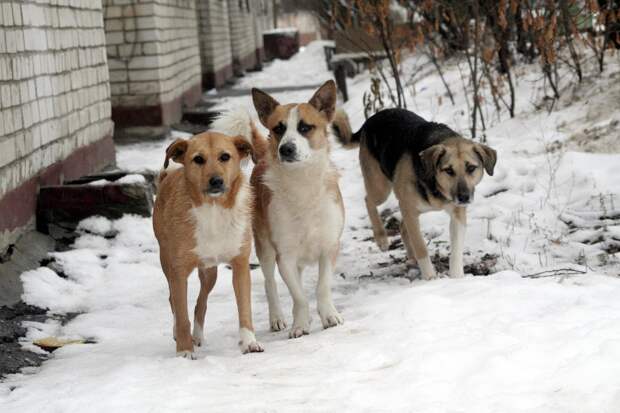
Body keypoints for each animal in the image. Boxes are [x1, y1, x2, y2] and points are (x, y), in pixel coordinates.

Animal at [154, 130, 264, 356]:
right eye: (198, 159)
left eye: (225, 156)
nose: (216, 181)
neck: (214, 210)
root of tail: (166, 177)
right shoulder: (178, 271)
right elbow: (181, 313)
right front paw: (184, 351)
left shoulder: (240, 263)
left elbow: (244, 308)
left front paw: (249, 342)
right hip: (166, 262)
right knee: (173, 302)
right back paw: (181, 335)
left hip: (209, 272)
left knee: (201, 302)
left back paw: (197, 336)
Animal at [216, 80, 346, 338]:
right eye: (278, 128)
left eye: (305, 127)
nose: (285, 148)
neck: (301, 183)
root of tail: (263, 157)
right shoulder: (284, 256)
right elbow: (299, 296)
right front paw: (300, 324)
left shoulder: (329, 247)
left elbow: (322, 287)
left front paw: (328, 316)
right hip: (264, 247)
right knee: (270, 283)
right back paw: (276, 317)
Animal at [352, 108, 496, 278]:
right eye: (448, 170)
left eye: (471, 168)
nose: (464, 198)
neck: (436, 186)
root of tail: (371, 119)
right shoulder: (410, 210)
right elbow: (421, 247)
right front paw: (430, 278)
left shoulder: (457, 214)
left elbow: (456, 251)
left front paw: (457, 277)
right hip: (381, 188)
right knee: (368, 200)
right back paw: (381, 238)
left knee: (402, 226)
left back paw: (411, 258)